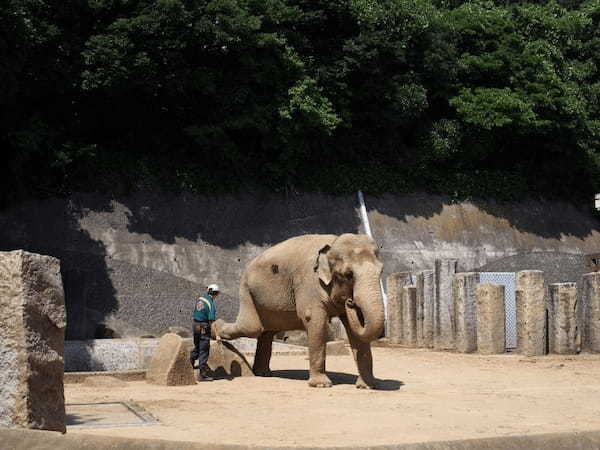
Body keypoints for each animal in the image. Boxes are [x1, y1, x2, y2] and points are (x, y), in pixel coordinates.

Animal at [214, 234, 384, 388]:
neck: (333, 243)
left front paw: (367, 386)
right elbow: (315, 320)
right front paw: (321, 385)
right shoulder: (308, 282)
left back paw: (263, 373)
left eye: (381, 272)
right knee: (252, 328)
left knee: (266, 332)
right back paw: (215, 328)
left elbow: (356, 331)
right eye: (349, 275)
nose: (350, 301)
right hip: (246, 290)